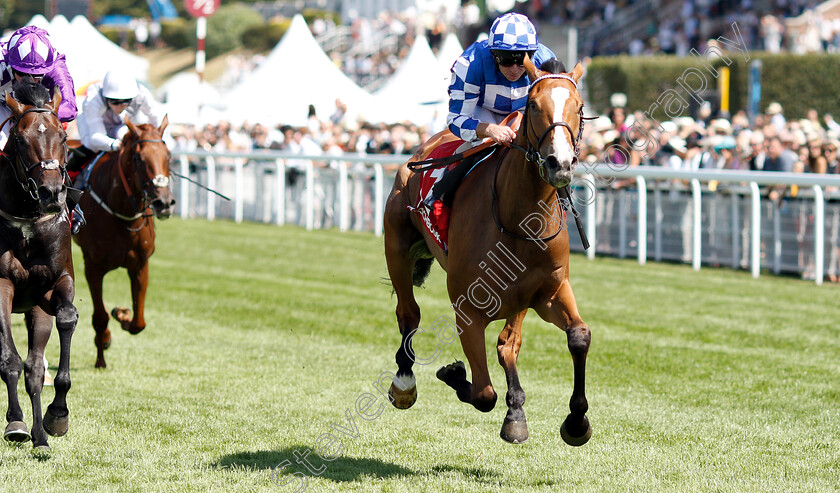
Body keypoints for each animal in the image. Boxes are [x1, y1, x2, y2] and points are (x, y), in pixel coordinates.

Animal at [73, 117, 174, 368]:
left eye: (168, 155)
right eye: (139, 158)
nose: (164, 203)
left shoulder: (140, 265)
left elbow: (139, 323)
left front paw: (122, 313)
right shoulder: (93, 266)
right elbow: (100, 317)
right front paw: (101, 356)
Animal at [384, 59, 592, 444]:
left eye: (580, 107)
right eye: (533, 105)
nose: (560, 163)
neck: (519, 218)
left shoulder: (549, 291)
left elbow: (578, 337)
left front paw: (575, 421)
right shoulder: (467, 309)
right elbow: (483, 394)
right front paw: (454, 373)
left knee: (509, 342)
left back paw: (516, 410)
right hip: (397, 246)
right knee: (408, 313)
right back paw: (404, 381)